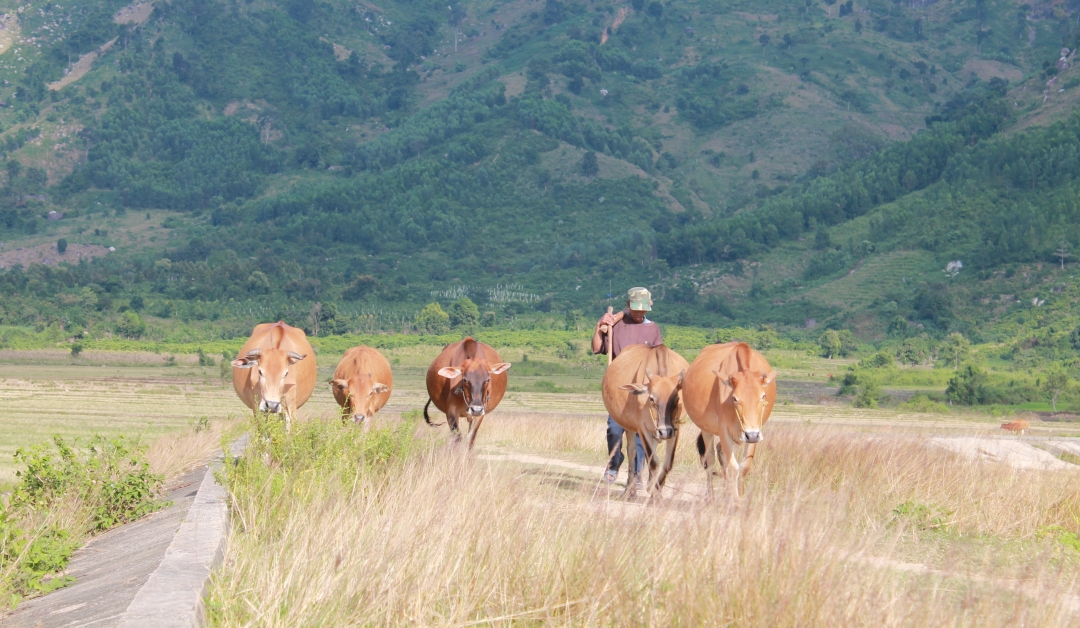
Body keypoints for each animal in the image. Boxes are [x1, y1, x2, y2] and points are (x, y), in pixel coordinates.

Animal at [604, 339, 686, 497]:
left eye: (677, 399)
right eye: (652, 398)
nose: (664, 432)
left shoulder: (676, 429)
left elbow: (668, 463)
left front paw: (657, 490)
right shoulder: (643, 428)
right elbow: (653, 462)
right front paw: (653, 493)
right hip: (629, 426)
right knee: (631, 452)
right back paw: (629, 490)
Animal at [682, 339, 777, 501]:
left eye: (763, 396)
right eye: (735, 398)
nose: (751, 435)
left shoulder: (755, 432)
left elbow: (744, 467)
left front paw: (740, 497)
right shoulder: (724, 430)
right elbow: (733, 467)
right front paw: (735, 502)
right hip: (706, 429)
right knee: (710, 459)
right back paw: (711, 497)